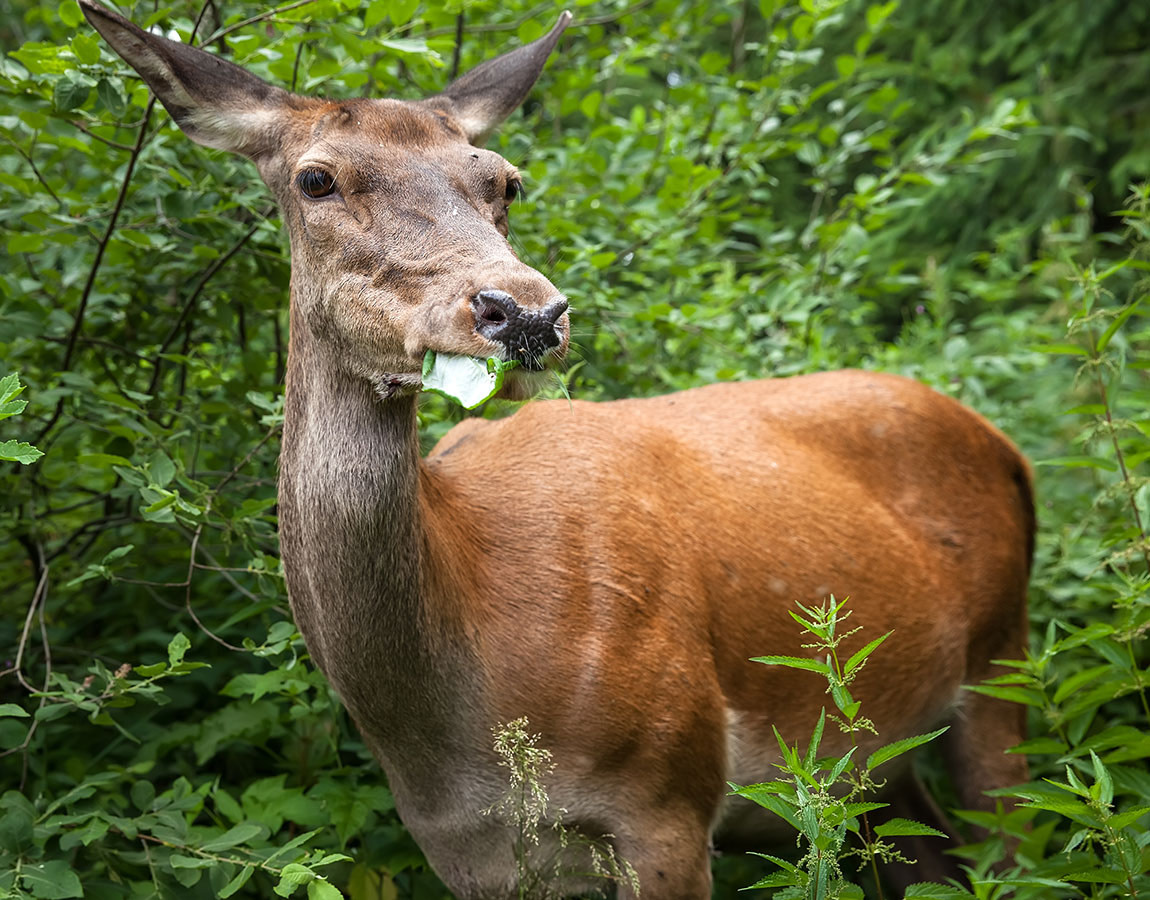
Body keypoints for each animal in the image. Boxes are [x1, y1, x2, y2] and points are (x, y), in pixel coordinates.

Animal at [81, 3, 1035, 896]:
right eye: (317, 178)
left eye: (506, 181)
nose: (526, 312)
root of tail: (1005, 446)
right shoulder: (463, 855)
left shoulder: (672, 794)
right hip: (880, 767)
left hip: (1003, 659)